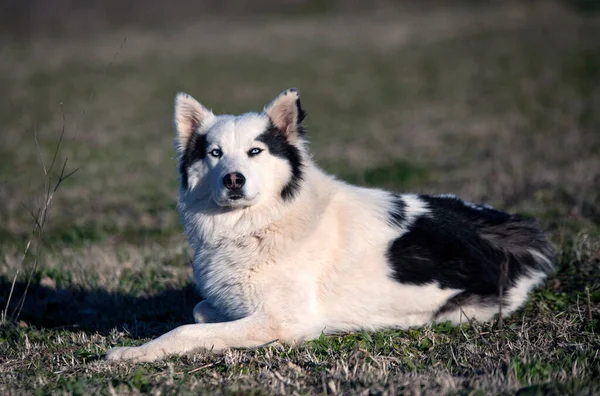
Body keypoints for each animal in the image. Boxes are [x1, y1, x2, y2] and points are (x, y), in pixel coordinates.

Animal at [105, 89, 556, 362]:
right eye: (214, 153)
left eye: (255, 151)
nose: (234, 179)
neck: (261, 223)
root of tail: (522, 233)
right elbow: (199, 312)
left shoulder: (286, 323)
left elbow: (185, 329)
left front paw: (132, 353)